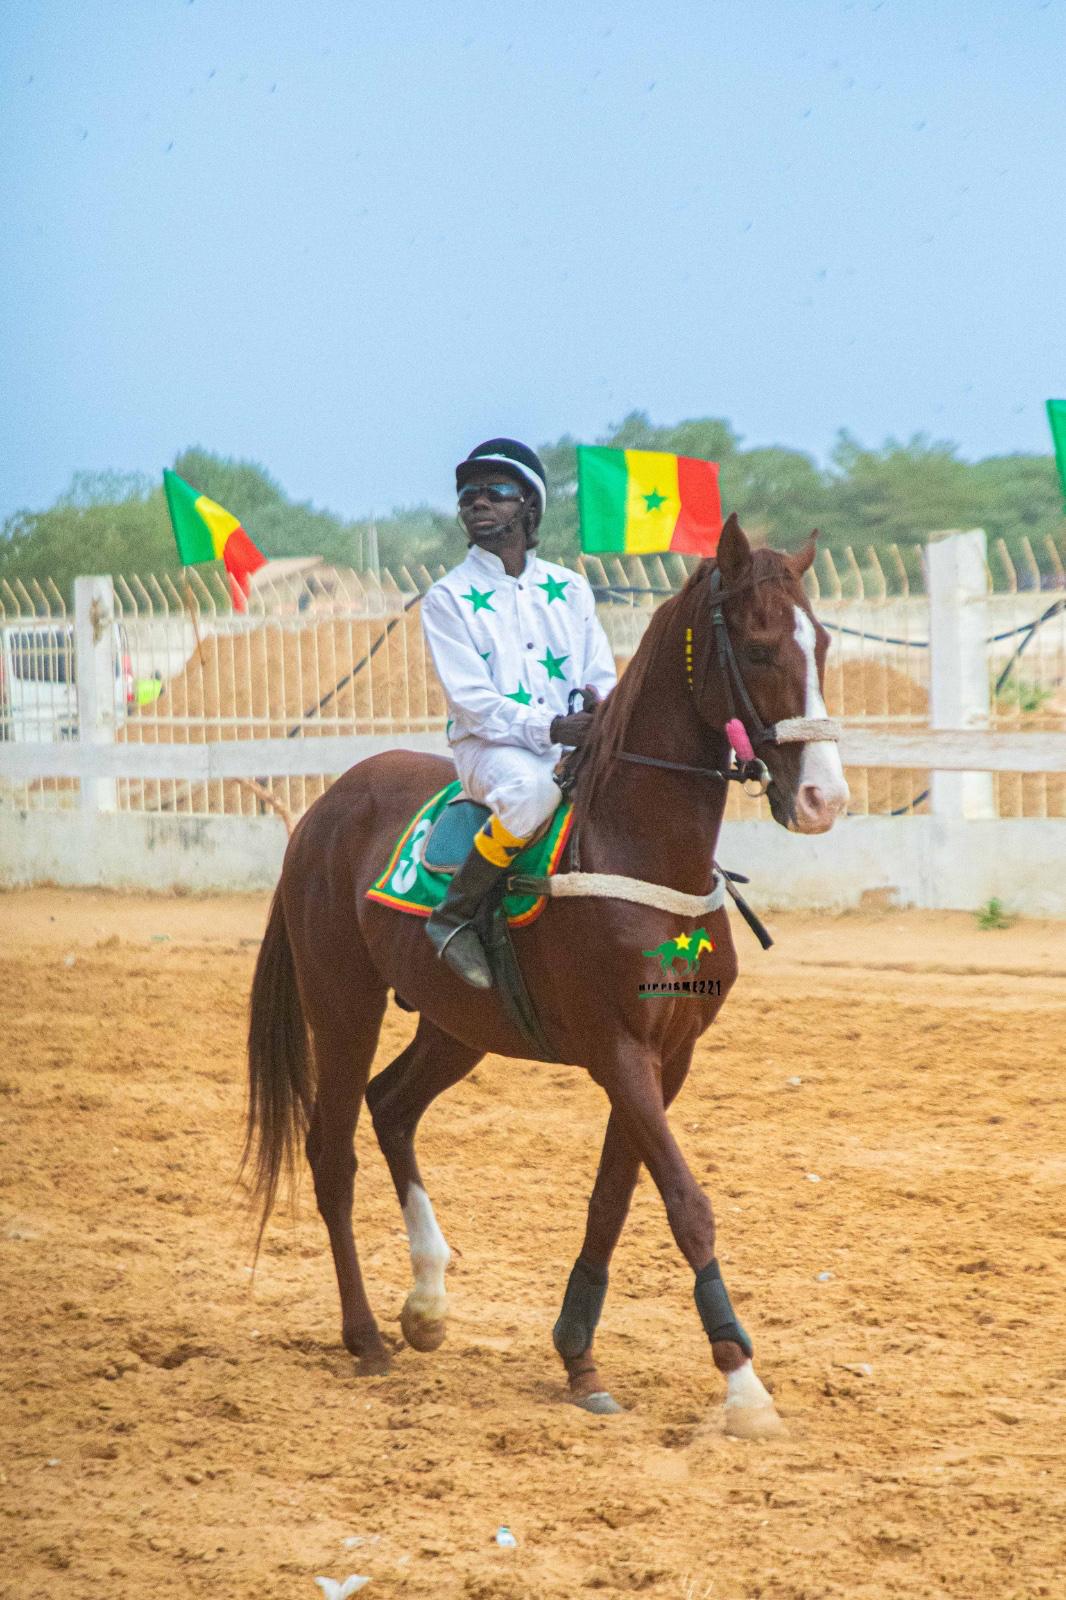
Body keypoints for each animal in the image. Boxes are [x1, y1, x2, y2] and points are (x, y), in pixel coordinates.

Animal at [243, 514, 849, 1439]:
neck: (635, 845)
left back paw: (427, 1302)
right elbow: (685, 1203)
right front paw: (742, 1383)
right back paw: (368, 1337)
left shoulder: (666, 1059)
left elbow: (613, 1201)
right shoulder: (619, 1051)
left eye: (822, 641)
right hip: (342, 1005)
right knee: (332, 1151)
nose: (823, 799)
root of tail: (324, 807)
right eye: (757, 644)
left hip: (456, 1025)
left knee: (392, 1108)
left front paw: (578, 1356)